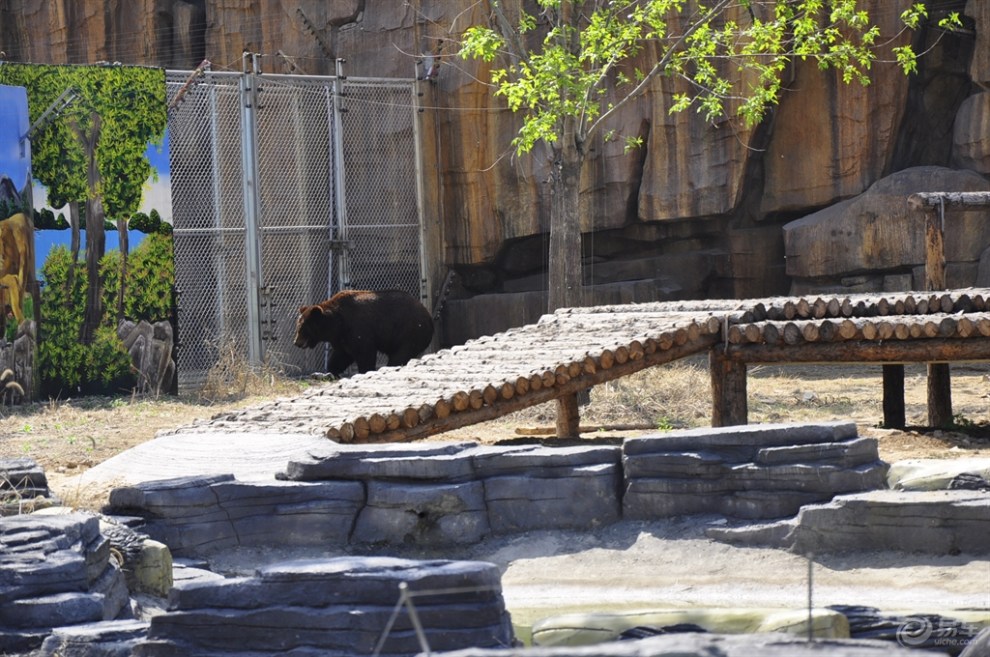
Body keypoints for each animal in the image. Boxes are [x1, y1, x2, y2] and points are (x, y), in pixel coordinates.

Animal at [294, 288, 434, 374]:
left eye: (303, 328)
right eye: (298, 327)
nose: (296, 342)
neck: (338, 324)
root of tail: (428, 315)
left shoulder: (358, 329)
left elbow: (364, 353)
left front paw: (365, 370)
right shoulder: (341, 339)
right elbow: (341, 356)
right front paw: (330, 372)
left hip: (409, 332)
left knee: (400, 355)